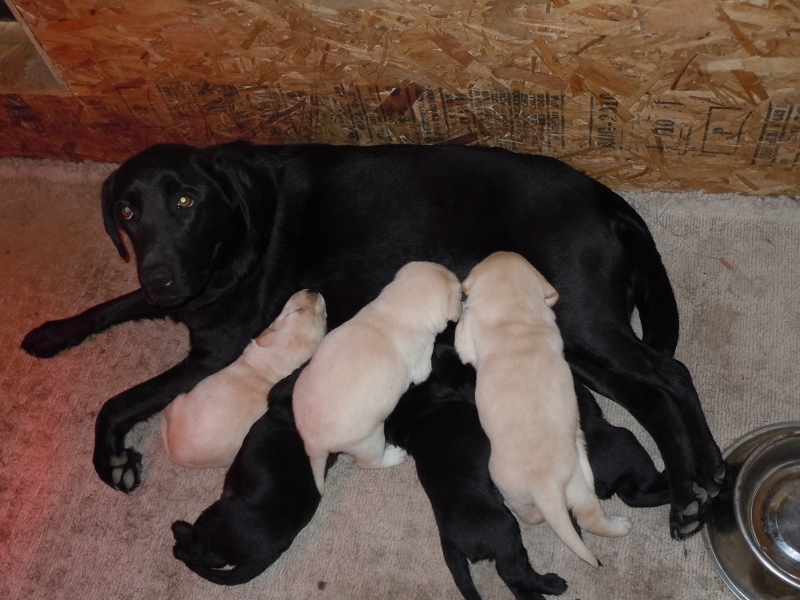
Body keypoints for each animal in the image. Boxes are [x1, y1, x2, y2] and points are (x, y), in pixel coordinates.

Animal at [161, 290, 326, 468]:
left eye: (296, 311)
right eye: (324, 317)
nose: (313, 291)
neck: (281, 359)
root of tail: (172, 452)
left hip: (178, 401)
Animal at [294, 262, 460, 492]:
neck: (400, 306)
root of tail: (312, 443)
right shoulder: (421, 360)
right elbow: (425, 369)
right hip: (370, 440)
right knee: (368, 462)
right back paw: (393, 456)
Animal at [384, 342, 564, 600]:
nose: (440, 345)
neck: (413, 414)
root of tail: (450, 544)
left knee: (514, 579)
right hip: (506, 530)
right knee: (513, 572)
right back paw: (552, 584)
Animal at [456, 252, 632, 568]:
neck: (513, 310)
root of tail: (546, 486)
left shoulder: (468, 337)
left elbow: (461, 339)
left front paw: (462, 305)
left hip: (508, 484)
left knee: (531, 515)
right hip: (578, 479)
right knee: (588, 515)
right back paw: (620, 526)